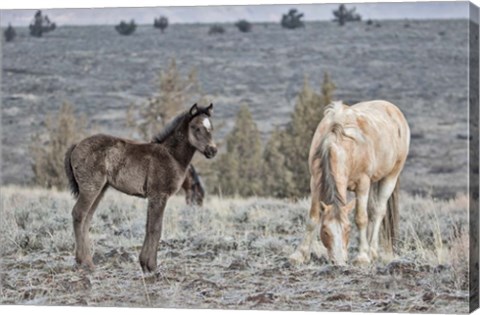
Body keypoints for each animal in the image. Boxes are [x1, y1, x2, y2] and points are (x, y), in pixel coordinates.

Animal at [64, 103, 218, 272]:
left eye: (211, 128)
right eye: (196, 128)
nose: (212, 150)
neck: (171, 156)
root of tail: (76, 145)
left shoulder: (154, 197)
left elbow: (148, 227)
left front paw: (144, 264)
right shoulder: (159, 195)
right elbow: (155, 228)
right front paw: (152, 266)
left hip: (100, 189)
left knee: (87, 219)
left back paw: (87, 261)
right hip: (90, 188)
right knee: (79, 214)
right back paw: (84, 262)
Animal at [288, 100, 408, 266]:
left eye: (348, 229)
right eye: (325, 231)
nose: (338, 262)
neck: (336, 143)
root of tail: (393, 109)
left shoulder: (363, 183)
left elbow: (361, 218)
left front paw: (362, 257)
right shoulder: (315, 181)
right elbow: (313, 218)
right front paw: (300, 254)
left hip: (390, 177)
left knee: (378, 211)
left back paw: (372, 251)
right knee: (372, 210)